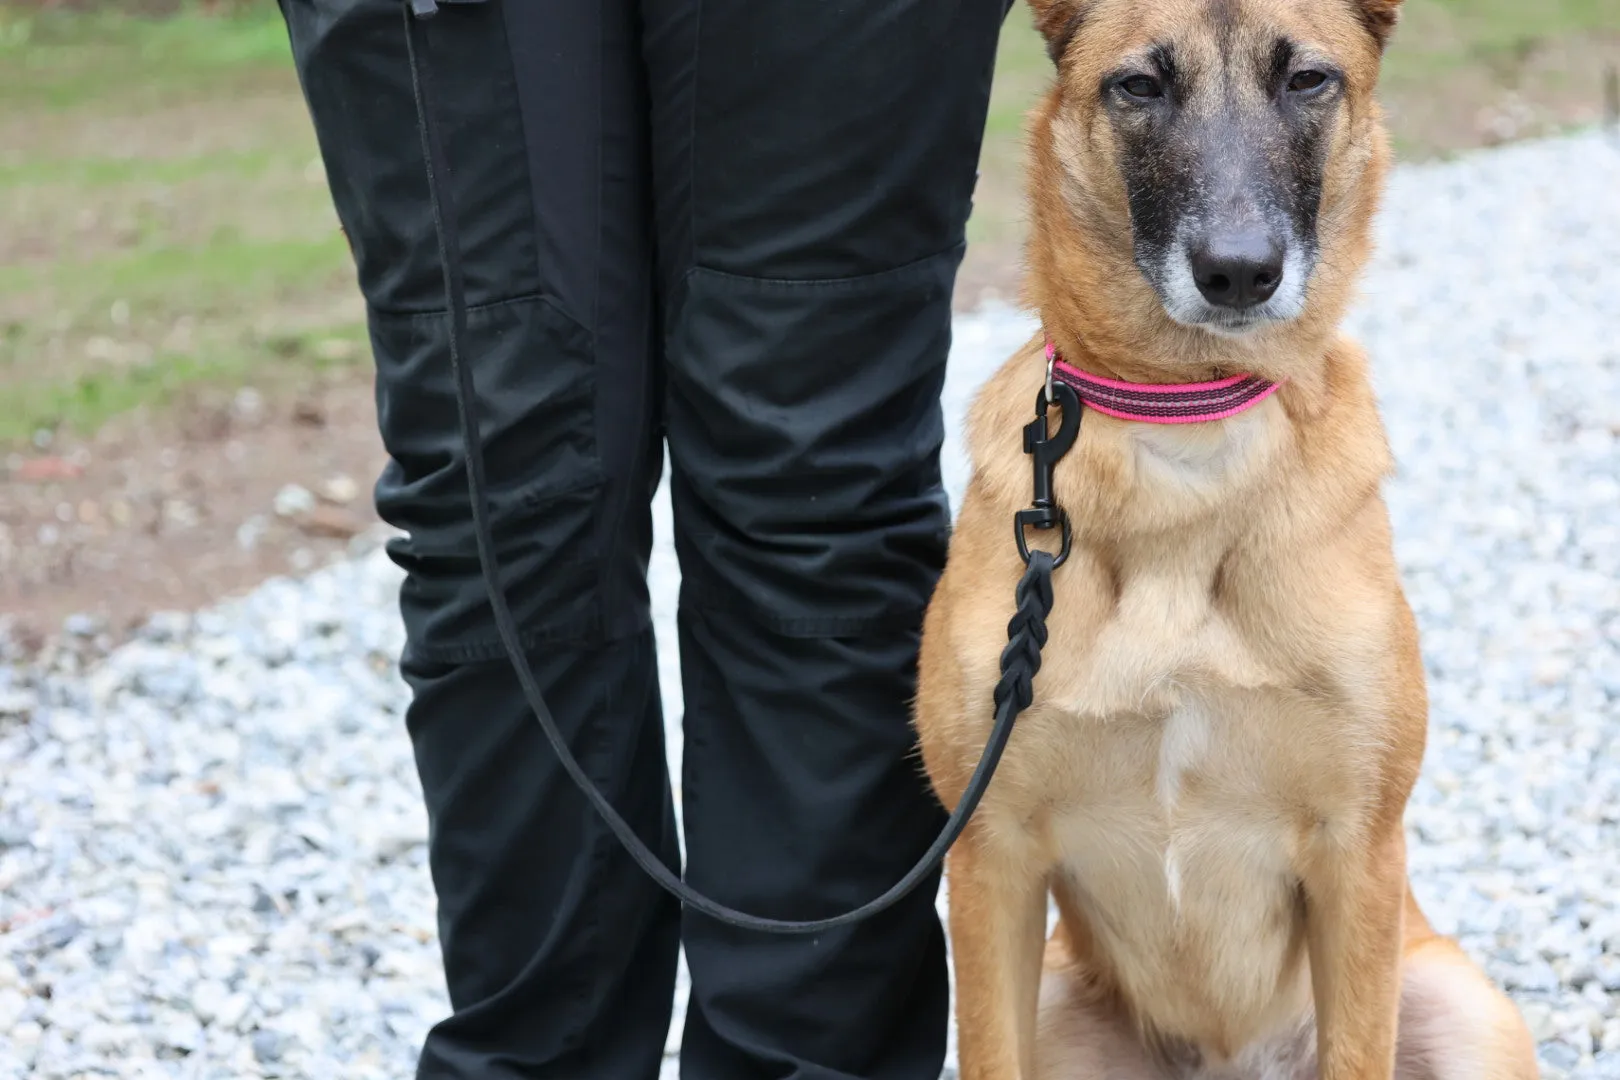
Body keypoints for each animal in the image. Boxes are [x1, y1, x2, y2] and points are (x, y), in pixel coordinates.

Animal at [920, 2, 1535, 1080]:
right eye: (1139, 86)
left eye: (1308, 81)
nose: (1240, 273)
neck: (1187, 432)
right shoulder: (990, 857)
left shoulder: (1357, 853)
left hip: (1464, 1011)